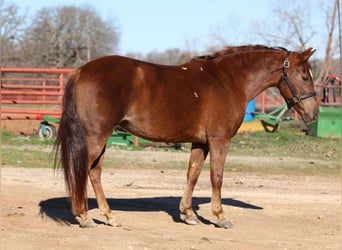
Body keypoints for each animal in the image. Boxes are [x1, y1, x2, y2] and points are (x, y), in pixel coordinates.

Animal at [53, 44, 318, 229]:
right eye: (305, 76)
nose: (314, 113)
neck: (227, 81)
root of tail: (80, 71)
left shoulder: (200, 142)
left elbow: (193, 174)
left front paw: (189, 214)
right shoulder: (219, 140)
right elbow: (216, 177)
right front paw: (220, 216)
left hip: (99, 138)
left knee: (94, 172)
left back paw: (108, 216)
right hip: (96, 137)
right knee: (83, 170)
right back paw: (83, 216)